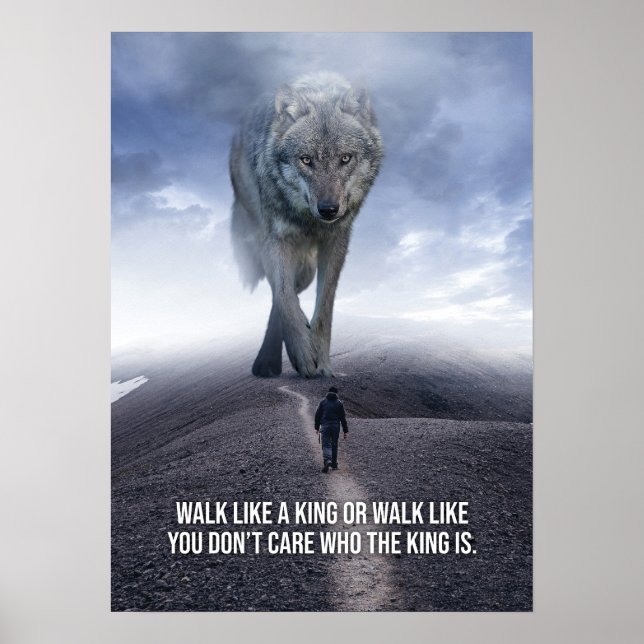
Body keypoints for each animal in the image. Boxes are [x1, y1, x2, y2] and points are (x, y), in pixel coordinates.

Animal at [229, 72, 383, 377]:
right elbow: (285, 297)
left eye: (345, 158)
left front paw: (321, 361)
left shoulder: (336, 242)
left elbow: (324, 306)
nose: (328, 209)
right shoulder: (275, 239)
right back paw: (268, 360)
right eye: (306, 160)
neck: (310, 222)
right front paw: (302, 353)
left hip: (307, 268)